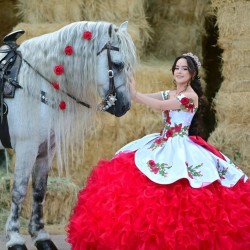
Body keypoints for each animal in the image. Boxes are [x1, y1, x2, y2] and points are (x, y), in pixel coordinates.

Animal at [0, 20, 137, 249]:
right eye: (118, 64)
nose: (124, 106)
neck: (34, 84)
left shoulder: (46, 149)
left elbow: (39, 190)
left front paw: (41, 236)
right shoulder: (27, 148)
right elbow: (19, 191)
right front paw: (15, 238)